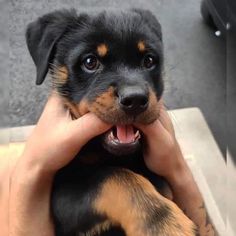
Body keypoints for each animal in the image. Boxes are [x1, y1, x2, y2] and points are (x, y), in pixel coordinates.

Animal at [25, 8, 197, 235]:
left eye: (149, 61)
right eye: (90, 62)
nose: (135, 99)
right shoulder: (63, 194)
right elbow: (114, 176)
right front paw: (162, 223)